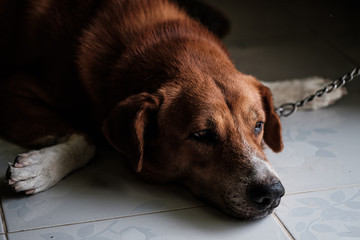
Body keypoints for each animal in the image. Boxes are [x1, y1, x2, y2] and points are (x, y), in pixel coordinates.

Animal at [1, 0, 286, 219]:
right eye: (202, 135)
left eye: (258, 126)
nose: (273, 194)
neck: (159, 38)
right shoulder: (13, 90)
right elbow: (87, 141)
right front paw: (40, 169)